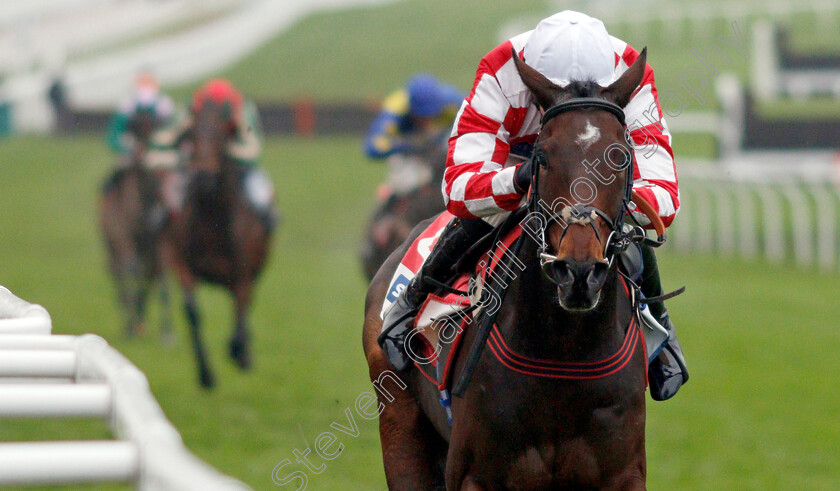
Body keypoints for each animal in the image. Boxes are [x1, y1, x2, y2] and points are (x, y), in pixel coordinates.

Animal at [99, 109, 173, 340]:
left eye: (153, 129)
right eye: (134, 129)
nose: (141, 153)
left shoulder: (159, 242)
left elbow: (159, 275)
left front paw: (167, 331)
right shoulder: (122, 236)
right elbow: (130, 269)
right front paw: (132, 325)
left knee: (148, 272)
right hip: (112, 244)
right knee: (120, 272)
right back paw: (130, 321)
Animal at [169, 96, 274, 388]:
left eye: (220, 136)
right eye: (192, 136)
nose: (205, 176)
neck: (211, 219)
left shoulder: (243, 272)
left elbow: (240, 308)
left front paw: (239, 352)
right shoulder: (182, 264)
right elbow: (192, 311)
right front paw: (206, 375)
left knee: (245, 305)